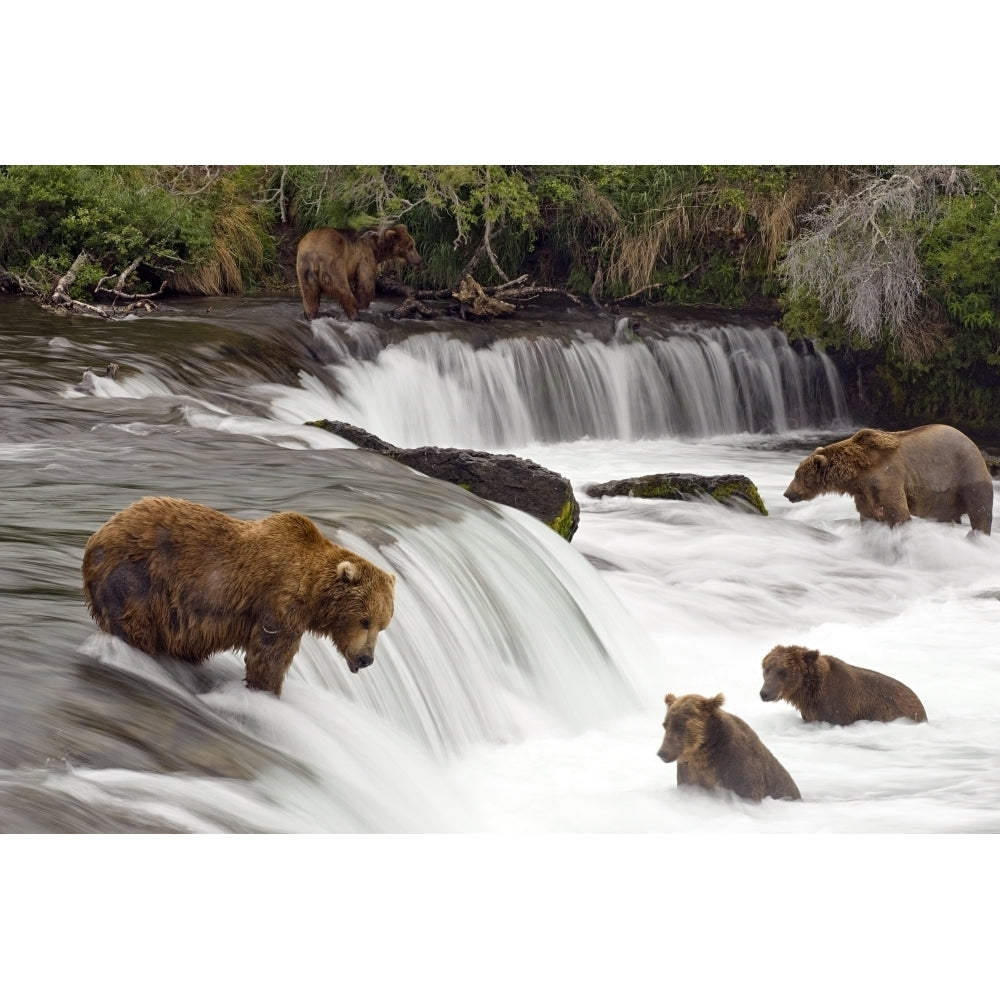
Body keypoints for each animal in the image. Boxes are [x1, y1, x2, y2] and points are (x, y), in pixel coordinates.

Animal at [82, 494, 396, 696]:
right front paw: (267, 692)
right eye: (365, 620)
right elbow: (269, 655)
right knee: (135, 625)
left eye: (382, 625)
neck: (312, 591)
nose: (366, 658)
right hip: (135, 578)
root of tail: (97, 534)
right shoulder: (280, 603)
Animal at [784, 422, 996, 536]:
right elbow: (868, 515)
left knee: (980, 509)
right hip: (945, 496)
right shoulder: (864, 493)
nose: (787, 493)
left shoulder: (885, 477)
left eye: (797, 474)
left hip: (966, 471)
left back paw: (977, 536)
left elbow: (896, 512)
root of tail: (974, 445)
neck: (857, 474)